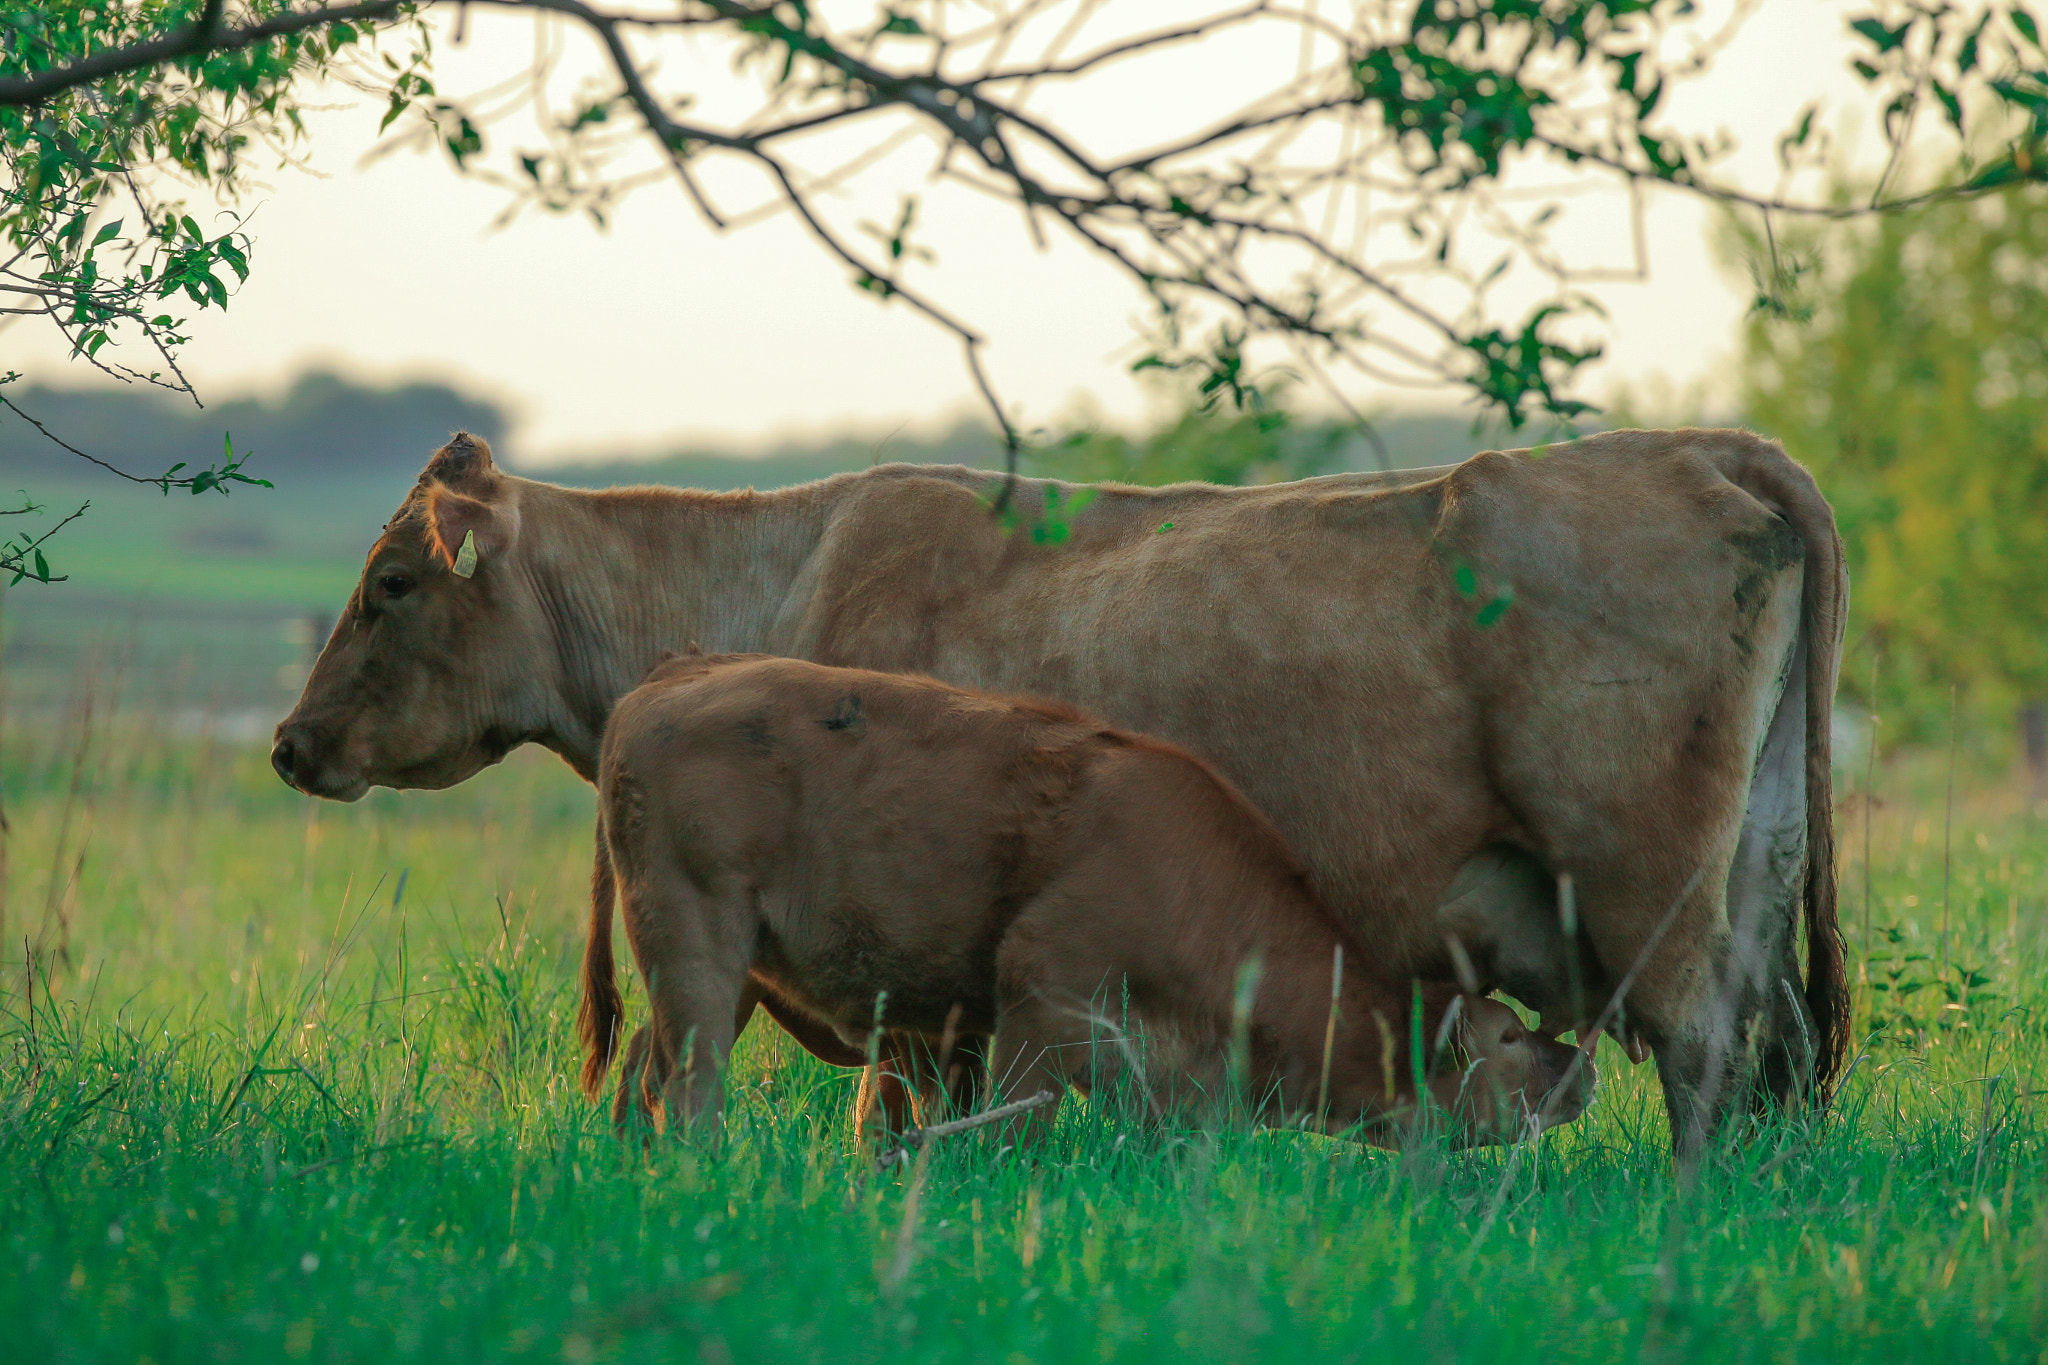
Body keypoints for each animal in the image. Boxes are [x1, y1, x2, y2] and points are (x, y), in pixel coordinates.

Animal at [577, 650, 1597, 1146]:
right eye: (1507, 1039)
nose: (1578, 1062)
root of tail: (671, 678)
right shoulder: (1040, 1003)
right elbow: (1011, 1131)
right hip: (696, 939)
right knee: (691, 1088)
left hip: (729, 963)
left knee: (641, 1077)